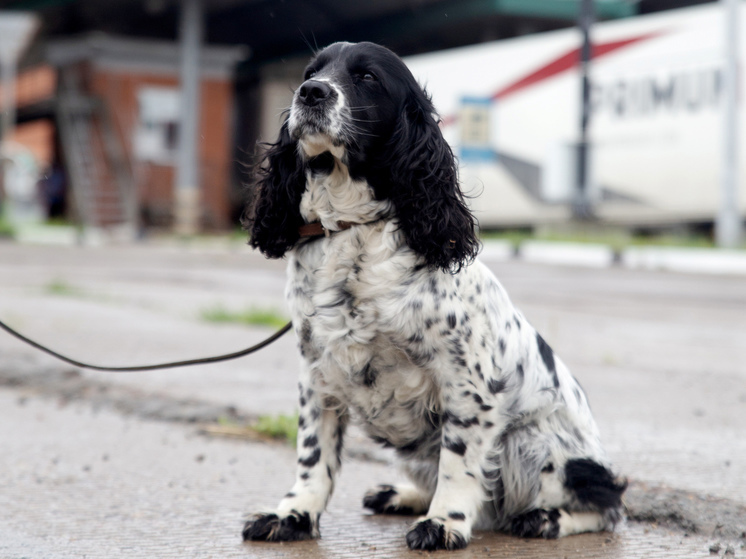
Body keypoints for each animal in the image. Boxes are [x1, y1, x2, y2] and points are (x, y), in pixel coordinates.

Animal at [241, 42, 624, 552]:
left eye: (367, 77)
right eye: (310, 72)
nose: (311, 93)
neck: (354, 229)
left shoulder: (468, 386)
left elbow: (459, 464)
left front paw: (444, 523)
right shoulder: (317, 375)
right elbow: (313, 457)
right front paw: (292, 515)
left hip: (537, 447)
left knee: (605, 504)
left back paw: (546, 518)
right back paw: (400, 494)